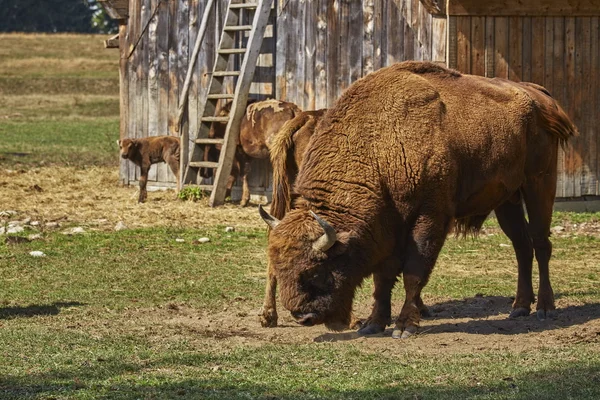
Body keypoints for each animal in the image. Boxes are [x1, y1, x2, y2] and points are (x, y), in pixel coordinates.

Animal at [258, 61, 576, 340]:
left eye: (314, 270)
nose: (303, 316)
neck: (380, 147)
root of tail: (540, 97)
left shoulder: (429, 217)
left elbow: (413, 271)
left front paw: (404, 326)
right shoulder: (388, 226)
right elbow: (383, 277)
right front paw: (373, 324)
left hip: (539, 184)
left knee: (540, 243)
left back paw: (545, 309)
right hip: (507, 200)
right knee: (521, 246)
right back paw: (519, 307)